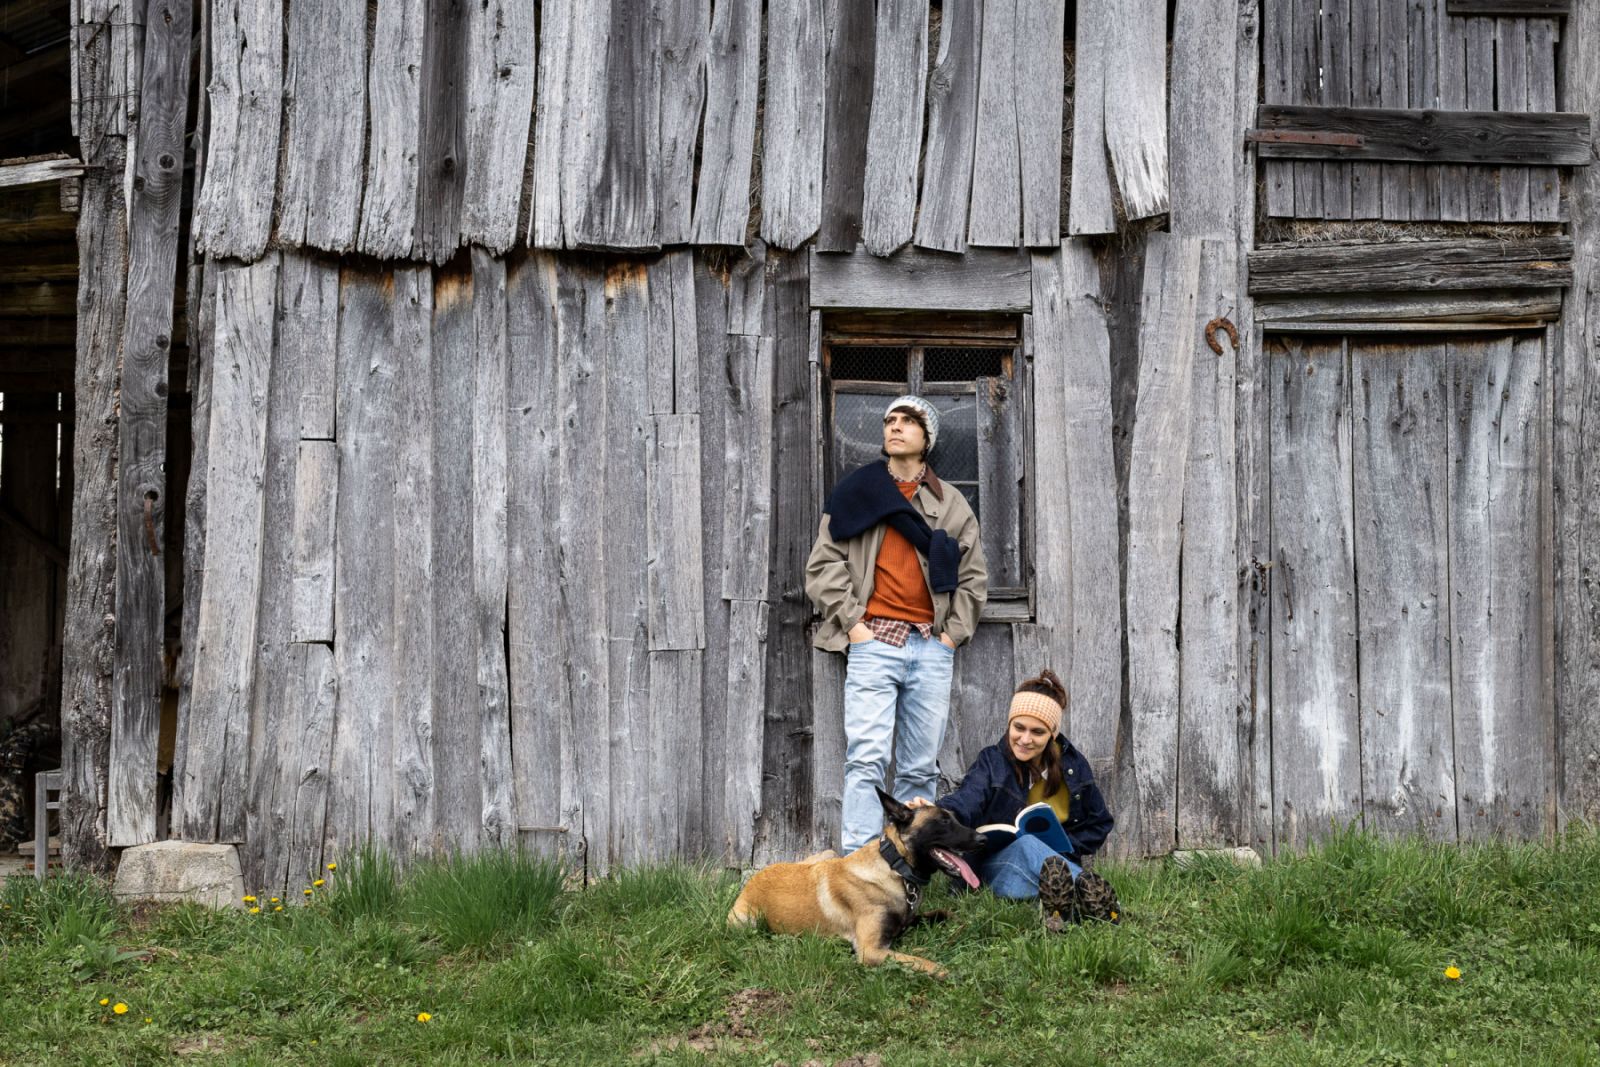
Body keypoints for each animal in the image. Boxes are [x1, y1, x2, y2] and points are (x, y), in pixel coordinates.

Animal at [728, 788, 984, 976]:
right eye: (943, 821)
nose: (983, 838)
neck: (894, 866)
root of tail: (754, 878)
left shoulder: (907, 921)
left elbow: (944, 914)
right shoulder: (871, 951)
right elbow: (922, 961)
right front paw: (948, 970)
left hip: (827, 853)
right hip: (746, 922)